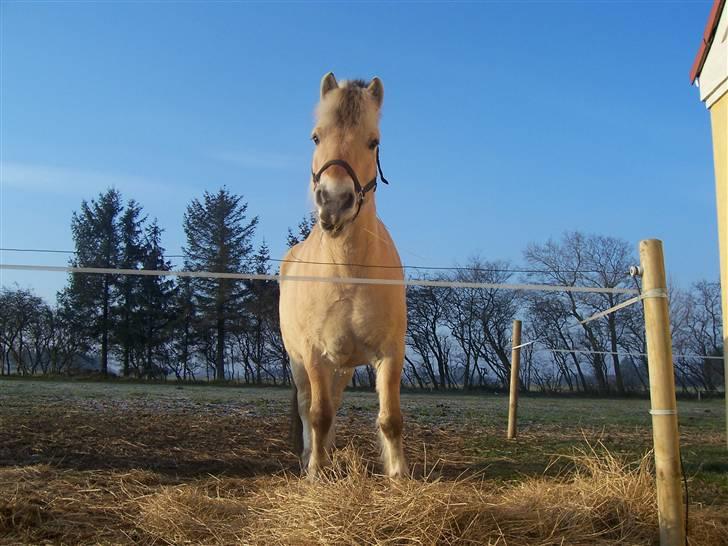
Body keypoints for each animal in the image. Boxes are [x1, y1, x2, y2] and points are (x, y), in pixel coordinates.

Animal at [278, 71, 406, 476]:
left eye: (373, 142)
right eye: (316, 137)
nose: (334, 201)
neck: (347, 271)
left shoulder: (390, 353)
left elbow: (390, 418)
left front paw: (398, 474)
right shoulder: (314, 355)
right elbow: (318, 415)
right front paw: (316, 471)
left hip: (344, 367)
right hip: (300, 363)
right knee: (311, 407)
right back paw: (311, 456)